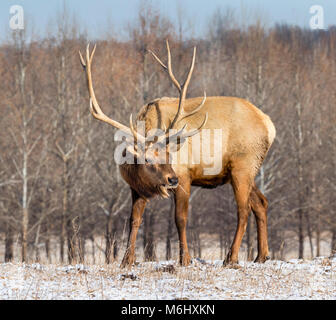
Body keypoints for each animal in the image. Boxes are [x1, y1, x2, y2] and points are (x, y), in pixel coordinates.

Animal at [80, 40, 276, 266]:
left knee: (243, 210)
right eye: (147, 159)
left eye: (169, 156)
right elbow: (134, 220)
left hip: (242, 166)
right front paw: (126, 260)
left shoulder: (184, 176)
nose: (170, 179)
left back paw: (231, 258)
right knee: (261, 203)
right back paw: (261, 256)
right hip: (245, 170)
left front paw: (185, 259)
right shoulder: (136, 187)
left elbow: (180, 219)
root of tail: (269, 126)